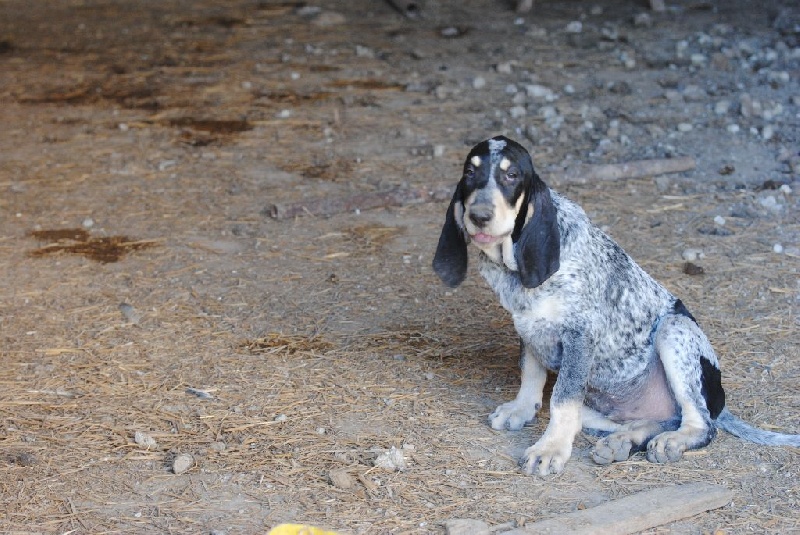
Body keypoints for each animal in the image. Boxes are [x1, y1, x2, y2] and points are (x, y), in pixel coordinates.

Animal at [432, 136, 800, 476]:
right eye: (470, 173)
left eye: (511, 176)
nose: (478, 216)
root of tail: (718, 402)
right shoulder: (528, 325)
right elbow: (531, 372)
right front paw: (520, 410)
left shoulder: (580, 336)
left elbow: (561, 399)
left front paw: (549, 449)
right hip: (599, 408)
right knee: (651, 421)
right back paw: (623, 442)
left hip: (675, 332)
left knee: (700, 425)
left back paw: (670, 441)